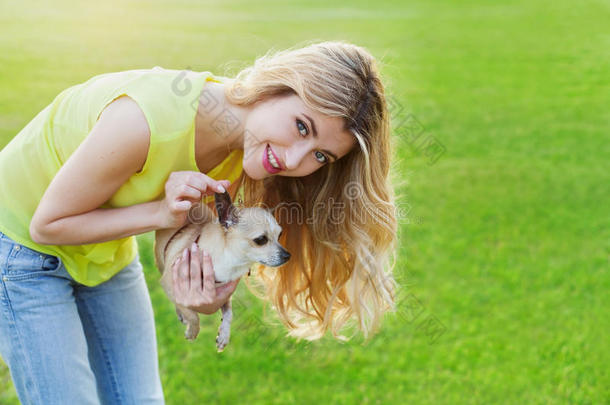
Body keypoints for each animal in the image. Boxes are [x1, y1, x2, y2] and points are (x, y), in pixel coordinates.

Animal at [153, 190, 288, 350]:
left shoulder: (224, 295)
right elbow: (192, 315)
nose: (288, 255)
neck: (229, 262)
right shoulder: (168, 284)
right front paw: (192, 330)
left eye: (280, 235)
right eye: (261, 240)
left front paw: (224, 334)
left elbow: (229, 313)